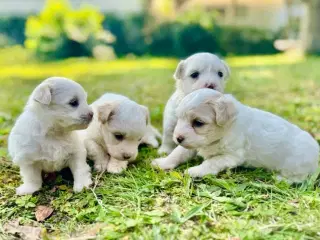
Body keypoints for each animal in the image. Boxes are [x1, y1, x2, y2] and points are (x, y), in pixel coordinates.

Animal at [153, 89, 320, 183]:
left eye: (198, 123)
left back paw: (281, 179)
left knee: (298, 178)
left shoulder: (231, 156)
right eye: (179, 118)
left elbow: (211, 162)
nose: (177, 138)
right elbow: (177, 153)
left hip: (295, 164)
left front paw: (196, 171)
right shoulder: (192, 144)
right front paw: (163, 163)